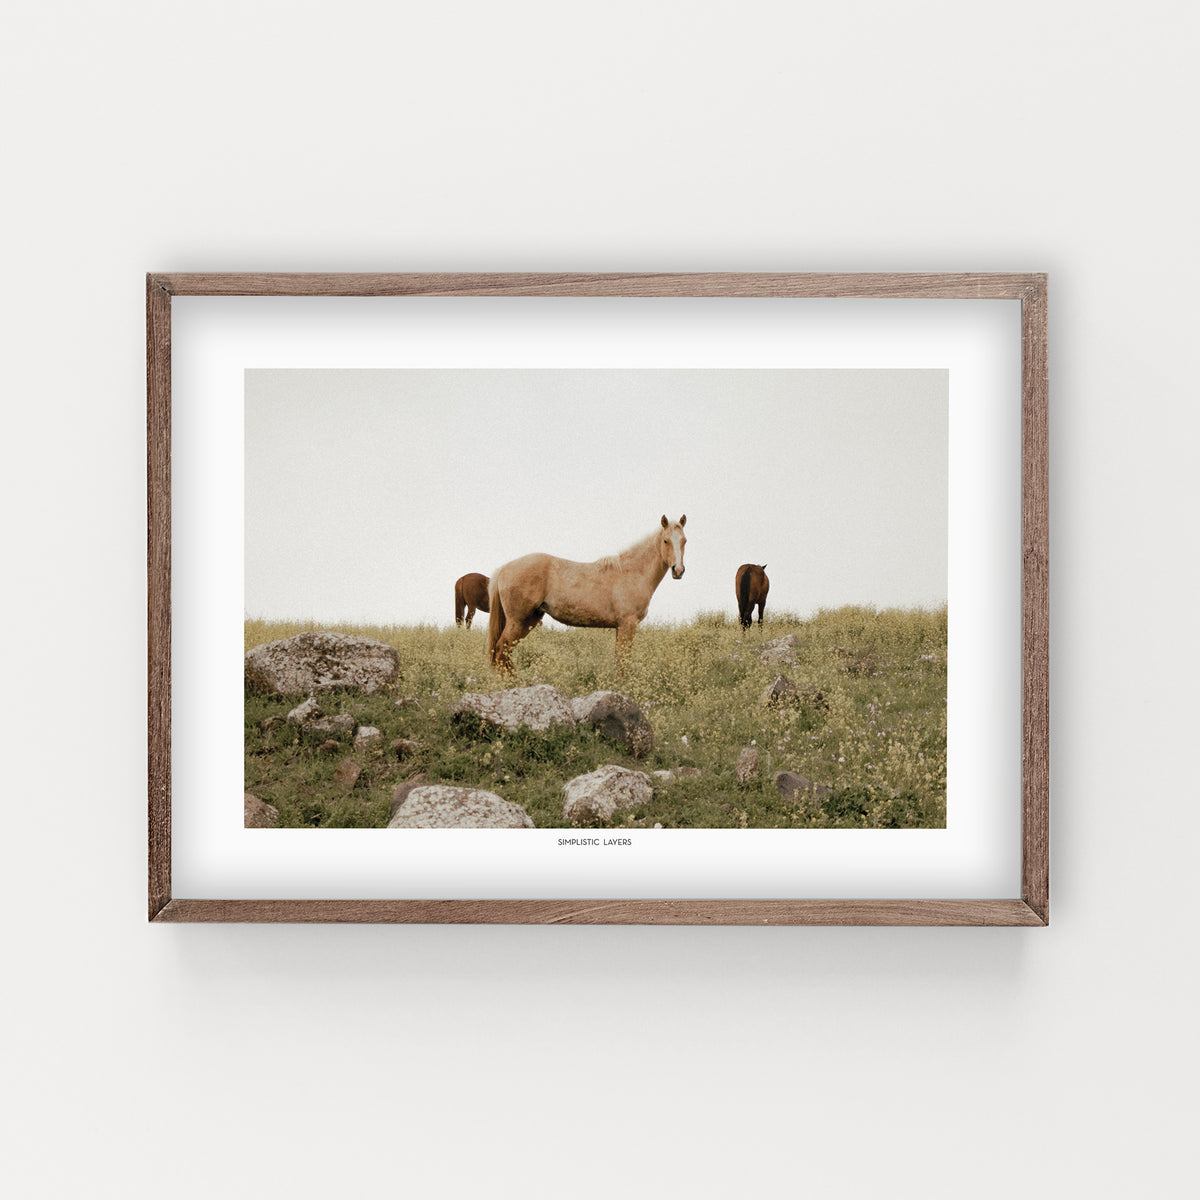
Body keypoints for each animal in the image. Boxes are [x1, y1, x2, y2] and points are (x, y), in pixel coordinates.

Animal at [488, 515, 687, 673]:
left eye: (684, 540)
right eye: (666, 541)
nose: (678, 571)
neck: (631, 573)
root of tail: (504, 569)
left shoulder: (620, 627)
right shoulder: (627, 624)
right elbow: (622, 662)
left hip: (529, 621)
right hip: (518, 621)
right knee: (501, 650)